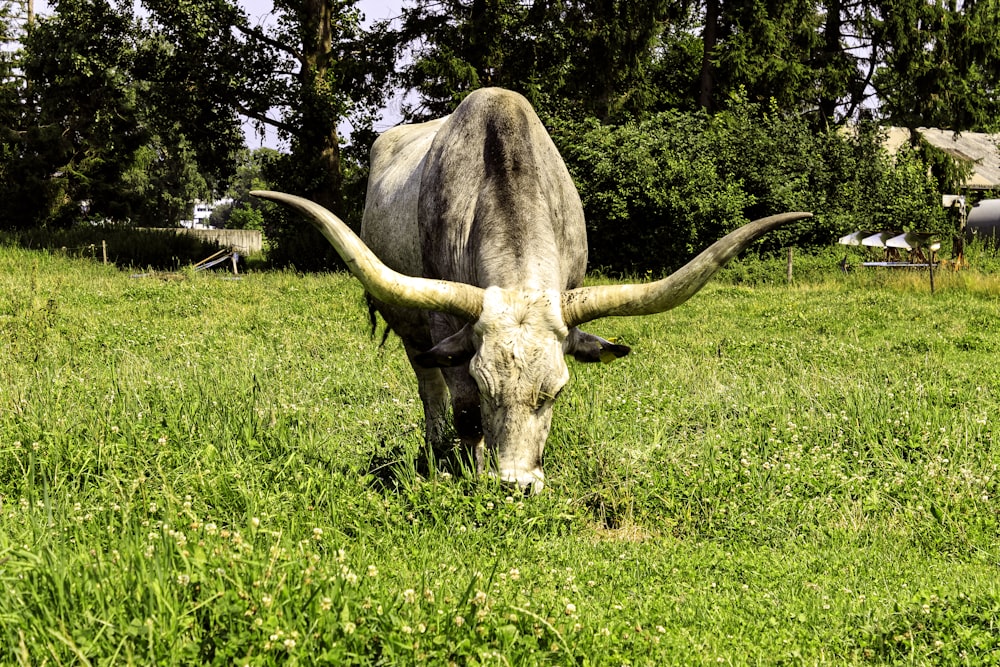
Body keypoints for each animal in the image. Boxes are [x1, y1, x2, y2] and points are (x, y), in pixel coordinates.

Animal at [252, 86, 812, 494]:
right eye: (485, 385)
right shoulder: (448, 330)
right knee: (429, 387)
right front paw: (472, 471)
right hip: (410, 325)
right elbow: (462, 405)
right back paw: (435, 451)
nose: (516, 486)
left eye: (557, 391)